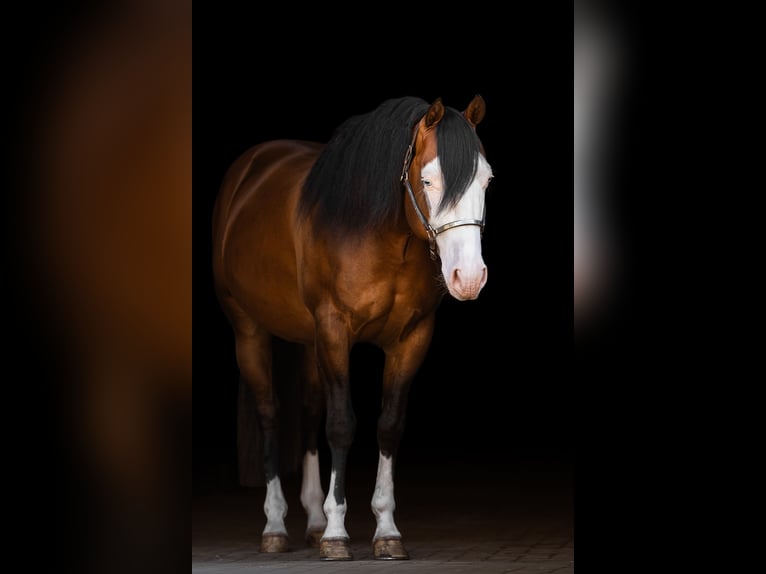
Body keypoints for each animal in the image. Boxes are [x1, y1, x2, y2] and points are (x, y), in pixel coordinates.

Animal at [211, 95, 493, 561]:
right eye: (428, 180)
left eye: (487, 180)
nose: (468, 277)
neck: (379, 233)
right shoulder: (334, 330)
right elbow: (342, 424)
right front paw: (337, 533)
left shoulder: (411, 338)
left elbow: (389, 425)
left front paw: (386, 530)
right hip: (248, 330)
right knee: (270, 412)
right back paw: (276, 525)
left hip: (307, 339)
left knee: (309, 412)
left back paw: (312, 519)